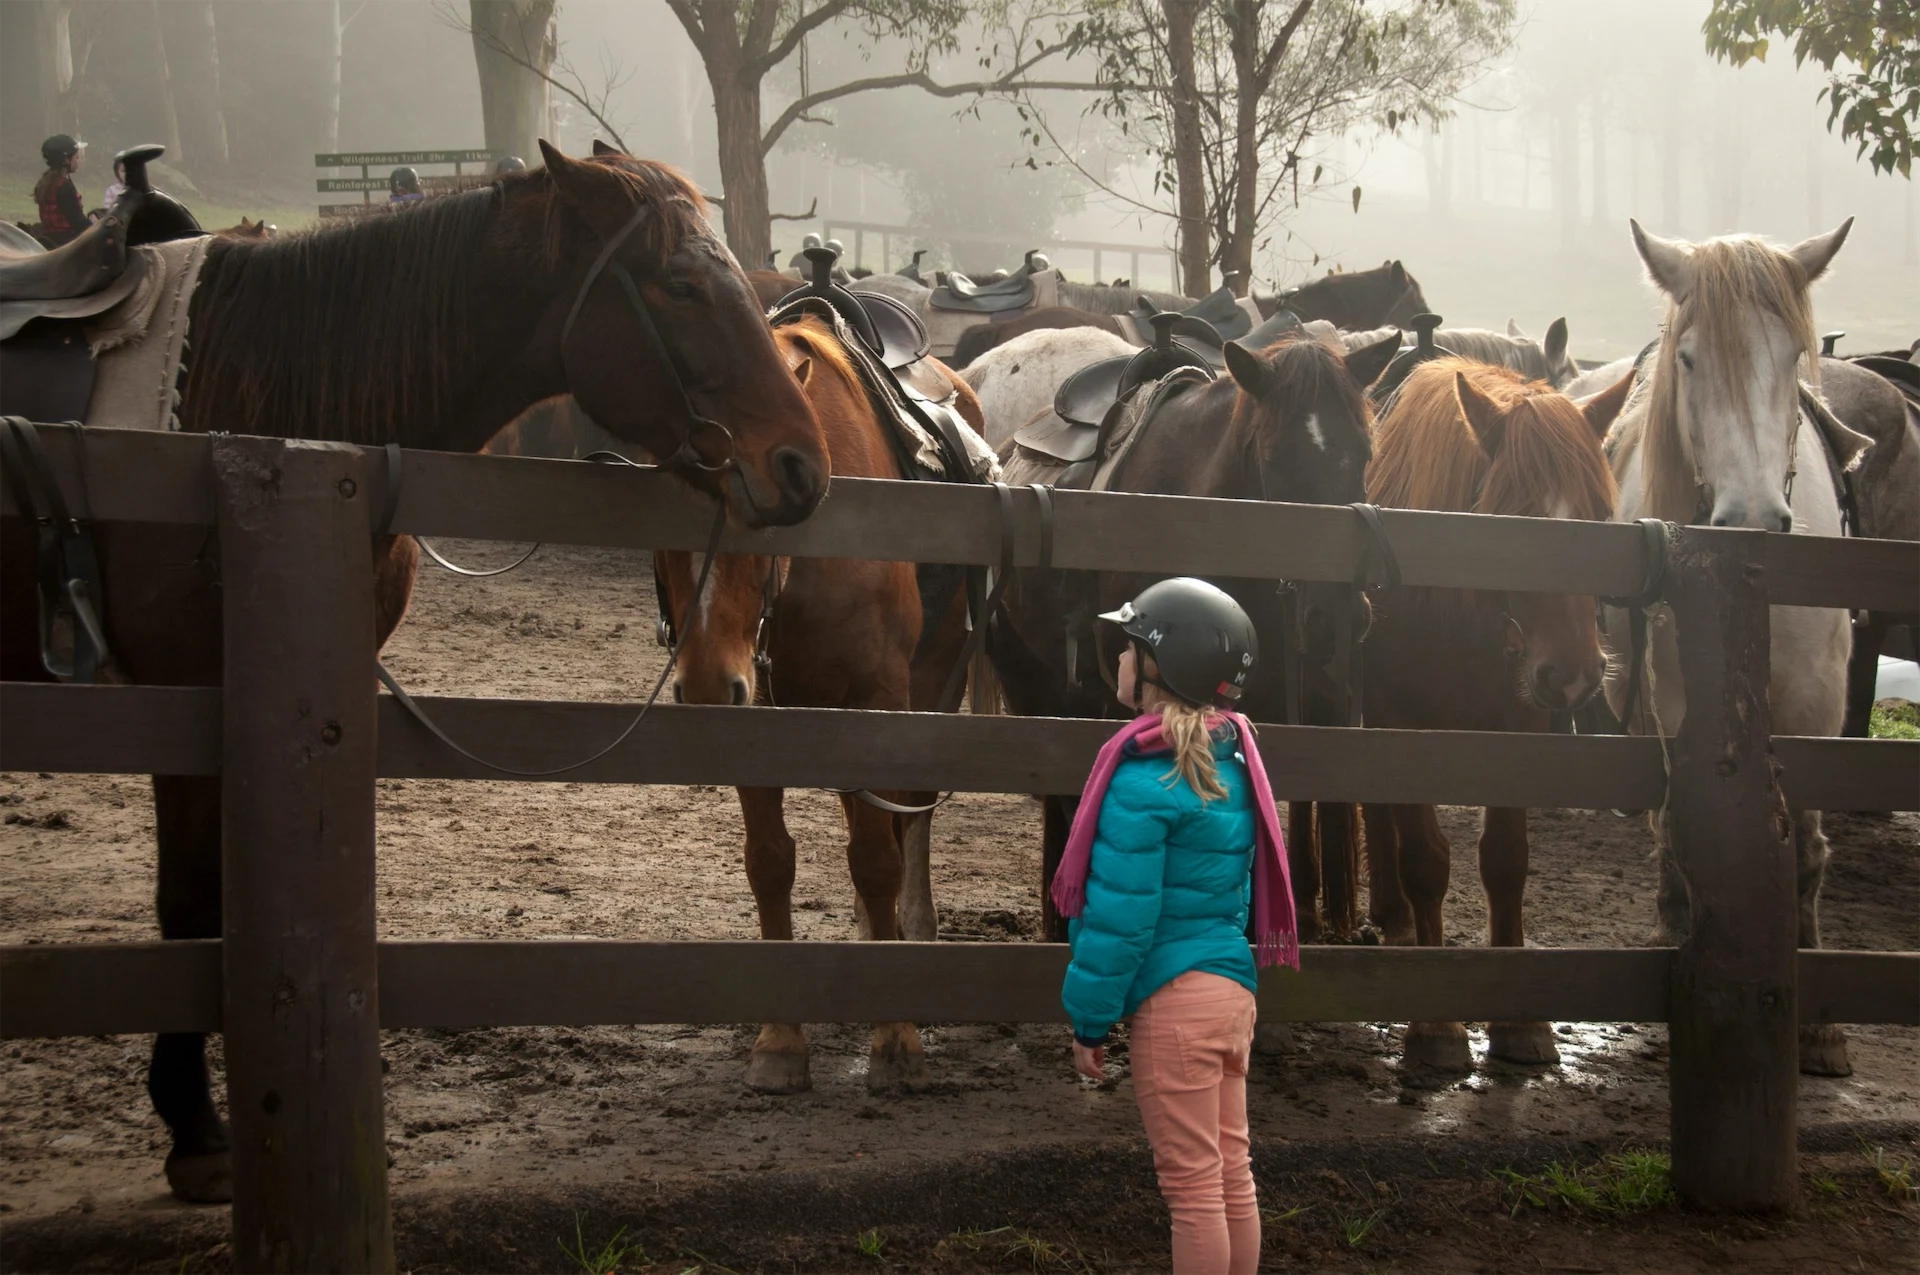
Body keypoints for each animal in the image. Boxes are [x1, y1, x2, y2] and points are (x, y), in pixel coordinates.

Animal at [0, 142, 829, 1203]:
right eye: (681, 284)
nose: (802, 466)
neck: (253, 410)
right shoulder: (184, 697)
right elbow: (188, 905)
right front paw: (194, 1128)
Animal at [653, 313, 979, 1094]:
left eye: (764, 512)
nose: (706, 687)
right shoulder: (762, 716)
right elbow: (770, 862)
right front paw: (780, 1039)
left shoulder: (878, 702)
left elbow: (878, 858)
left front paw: (896, 1036)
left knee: (905, 822)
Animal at [1326, 359, 1632, 1069]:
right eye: (1512, 519)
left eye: (1602, 517)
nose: (1574, 674)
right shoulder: (1403, 728)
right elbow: (1427, 861)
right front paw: (1436, 1025)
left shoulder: (1519, 730)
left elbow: (1506, 860)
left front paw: (1521, 1024)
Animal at [1601, 218, 1861, 1076]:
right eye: (1689, 359)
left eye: (1792, 354)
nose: (1751, 516)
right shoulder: (1683, 703)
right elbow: (1686, 826)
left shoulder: (1818, 707)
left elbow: (1806, 846)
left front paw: (1820, 1029)